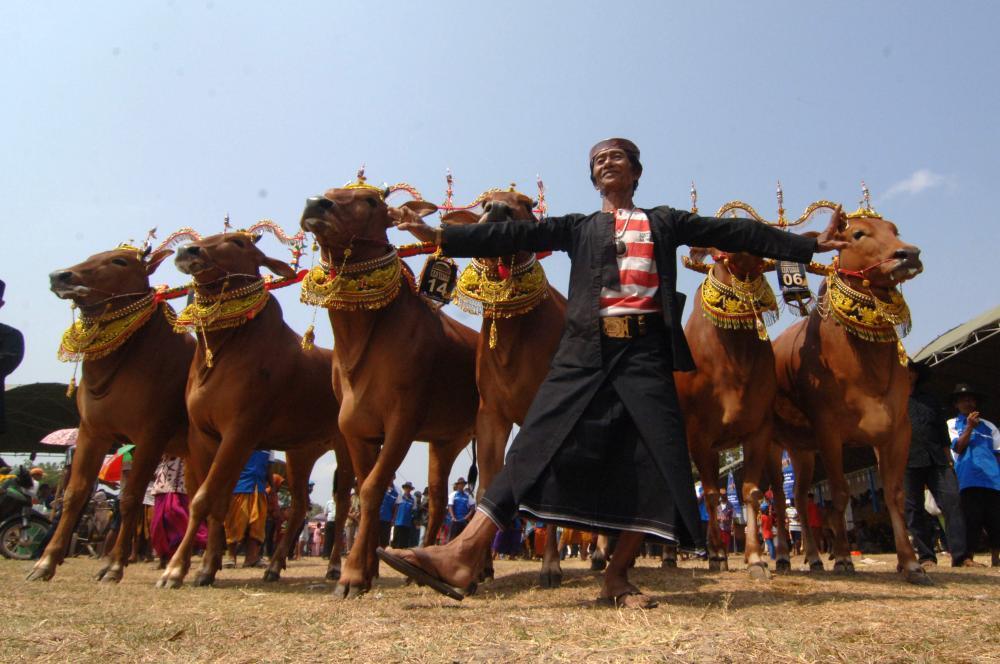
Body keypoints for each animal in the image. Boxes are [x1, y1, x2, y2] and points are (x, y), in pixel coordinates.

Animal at [32, 246, 193, 584]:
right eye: (92, 256)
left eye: (119, 261)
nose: (60, 276)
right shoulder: (92, 432)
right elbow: (75, 494)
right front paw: (46, 562)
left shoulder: (152, 434)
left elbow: (131, 497)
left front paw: (115, 566)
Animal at [158, 232, 354, 588]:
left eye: (238, 242)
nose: (187, 251)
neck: (225, 347)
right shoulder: (205, 435)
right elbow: (216, 502)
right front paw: (206, 567)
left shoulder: (240, 430)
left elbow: (202, 499)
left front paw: (175, 569)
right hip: (301, 452)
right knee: (300, 506)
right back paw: (273, 566)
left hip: (344, 445)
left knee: (344, 503)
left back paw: (334, 567)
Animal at [300, 183, 480, 600]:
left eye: (370, 200)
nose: (316, 204)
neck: (362, 339)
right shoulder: (357, 429)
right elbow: (369, 489)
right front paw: (366, 571)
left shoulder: (403, 419)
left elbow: (370, 490)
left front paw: (350, 576)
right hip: (446, 440)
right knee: (438, 499)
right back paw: (422, 564)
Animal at [668, 249, 792, 576]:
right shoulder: (699, 436)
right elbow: (711, 494)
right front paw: (716, 555)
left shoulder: (759, 430)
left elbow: (751, 492)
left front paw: (755, 557)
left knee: (779, 491)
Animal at [772, 210, 928, 584]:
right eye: (858, 234)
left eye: (895, 230)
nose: (908, 254)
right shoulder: (829, 430)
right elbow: (841, 492)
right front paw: (843, 558)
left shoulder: (896, 429)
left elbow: (895, 493)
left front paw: (910, 563)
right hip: (772, 445)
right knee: (778, 503)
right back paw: (784, 557)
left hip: (801, 450)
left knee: (799, 499)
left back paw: (813, 557)